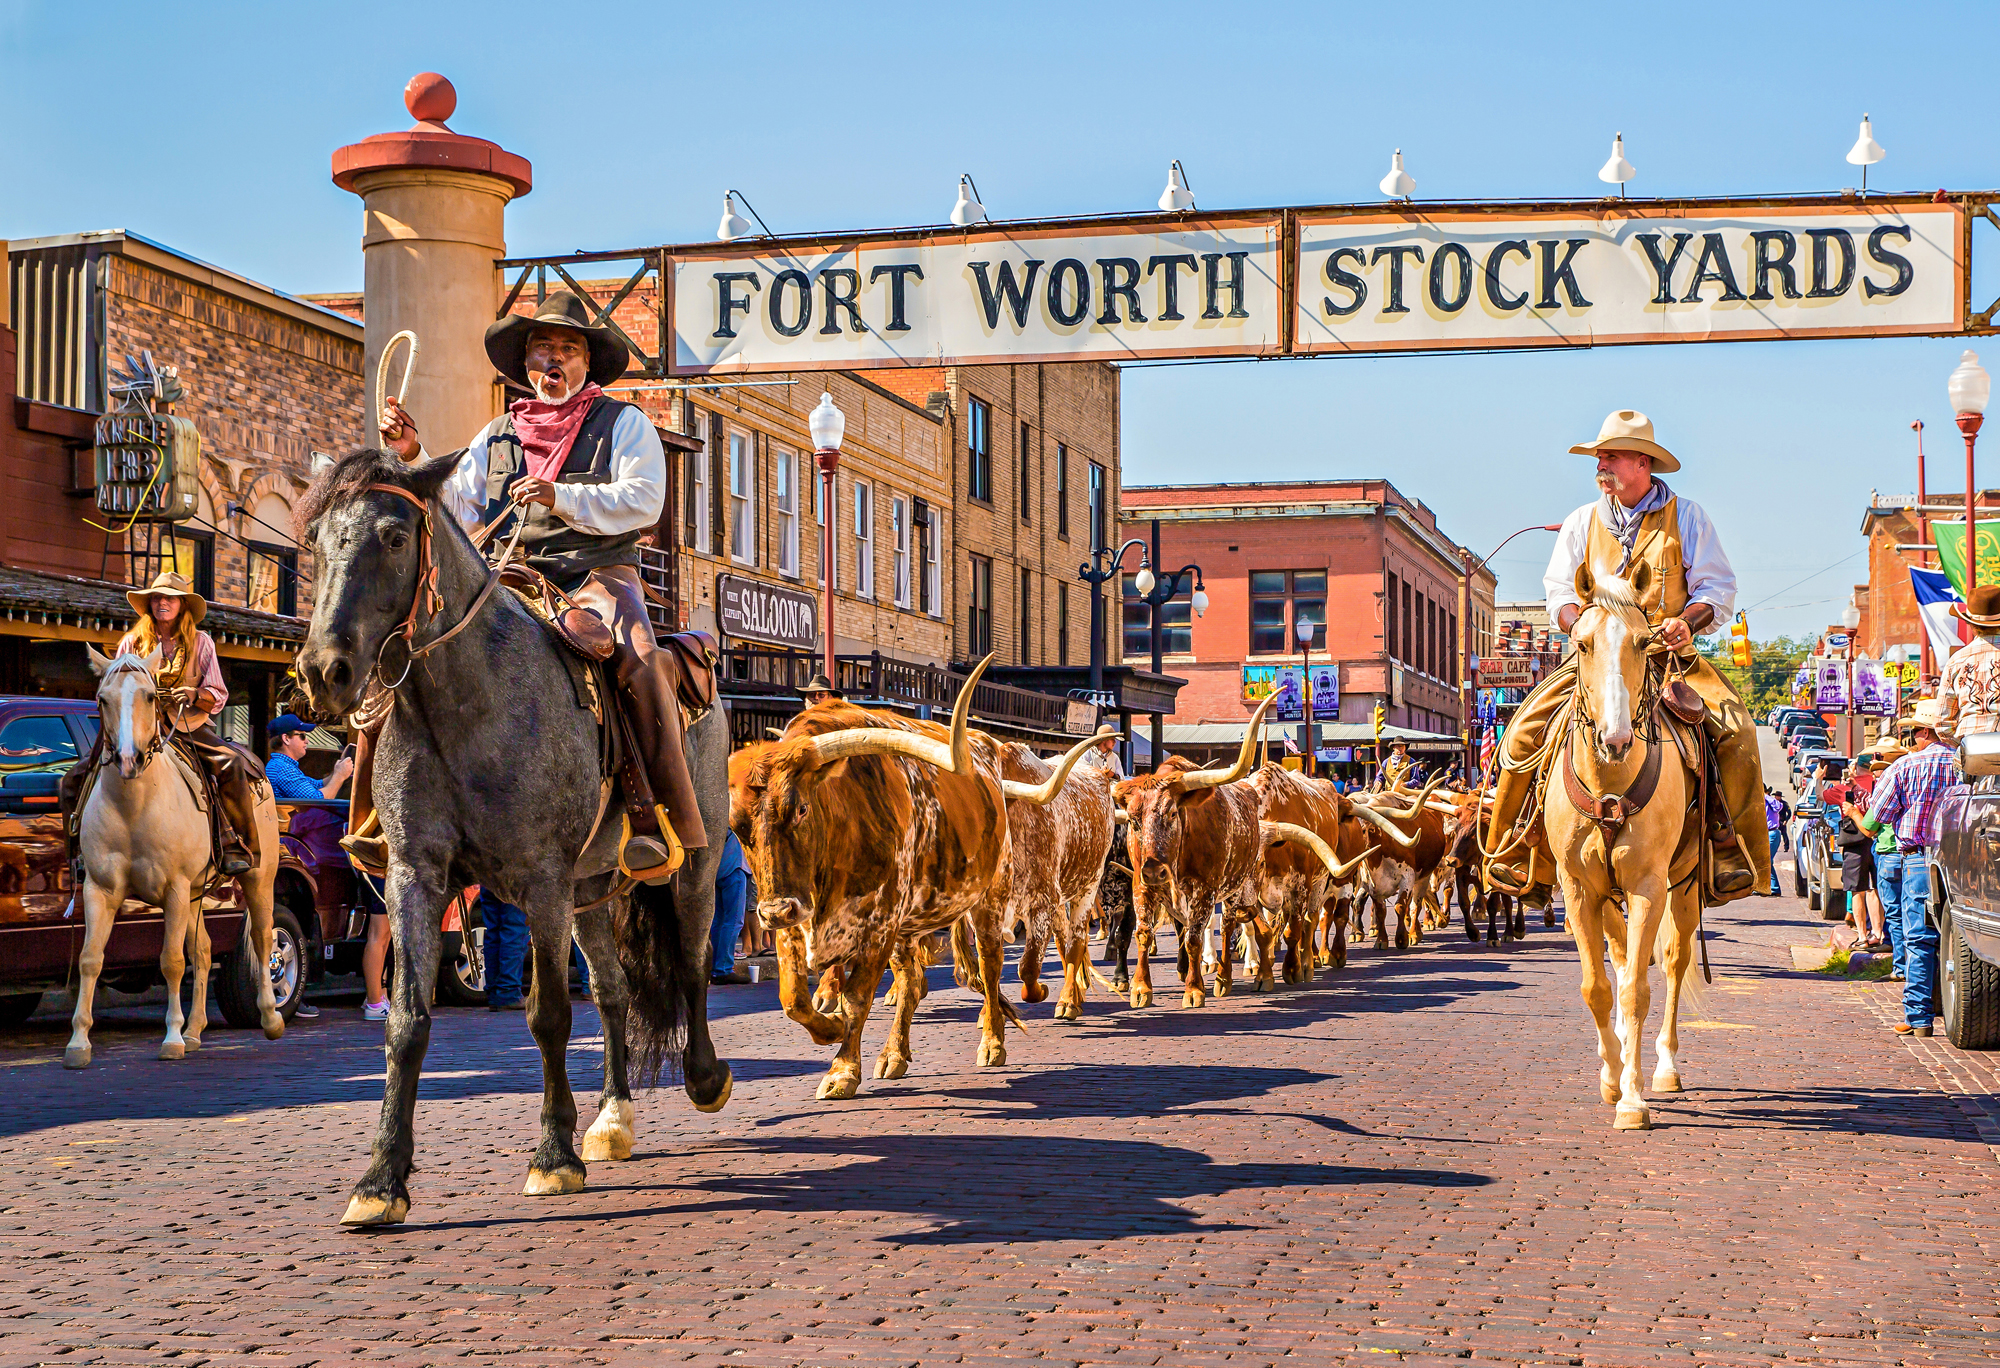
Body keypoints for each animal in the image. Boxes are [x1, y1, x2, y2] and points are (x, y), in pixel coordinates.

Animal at [66, 652, 284, 1072]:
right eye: (102, 699)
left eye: (151, 696)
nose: (128, 760)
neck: (134, 806)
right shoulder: (99, 889)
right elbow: (89, 959)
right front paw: (78, 1043)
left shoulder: (175, 888)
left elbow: (171, 962)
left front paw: (171, 1038)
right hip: (197, 895)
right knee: (204, 951)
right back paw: (196, 1030)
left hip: (258, 877)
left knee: (263, 938)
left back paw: (269, 1017)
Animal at [292, 452, 732, 1232]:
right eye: (315, 540)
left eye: (395, 536)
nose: (324, 672)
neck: (462, 703)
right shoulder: (415, 878)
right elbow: (406, 1021)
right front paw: (381, 1179)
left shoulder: (541, 881)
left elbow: (548, 1014)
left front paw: (553, 1157)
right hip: (593, 889)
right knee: (615, 990)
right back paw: (612, 1118)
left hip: (693, 866)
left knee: (691, 960)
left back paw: (704, 1077)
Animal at [1544, 568, 1704, 1136]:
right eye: (1581, 644)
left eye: (1643, 642)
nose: (1614, 739)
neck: (1609, 782)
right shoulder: (1577, 890)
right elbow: (1598, 987)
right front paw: (1611, 1077)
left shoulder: (1647, 887)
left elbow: (1638, 989)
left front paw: (1633, 1099)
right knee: (1617, 962)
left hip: (1686, 884)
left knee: (1673, 962)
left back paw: (1665, 1066)